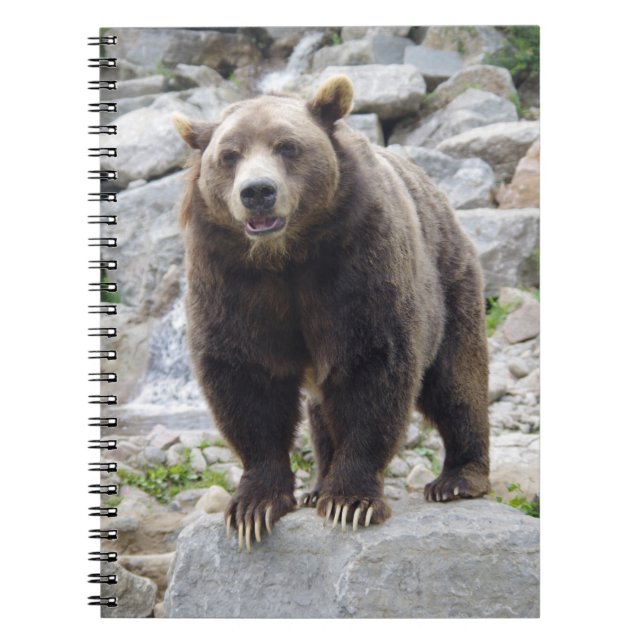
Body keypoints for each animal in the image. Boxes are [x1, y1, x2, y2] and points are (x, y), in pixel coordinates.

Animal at [173, 75, 490, 552]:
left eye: (287, 146)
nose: (257, 192)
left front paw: (350, 501)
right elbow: (245, 377)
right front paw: (254, 507)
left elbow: (371, 366)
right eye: (229, 155)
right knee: (322, 409)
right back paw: (317, 485)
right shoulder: (229, 277)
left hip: (450, 282)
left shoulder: (357, 261)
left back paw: (458, 478)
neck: (285, 256)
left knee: (457, 380)